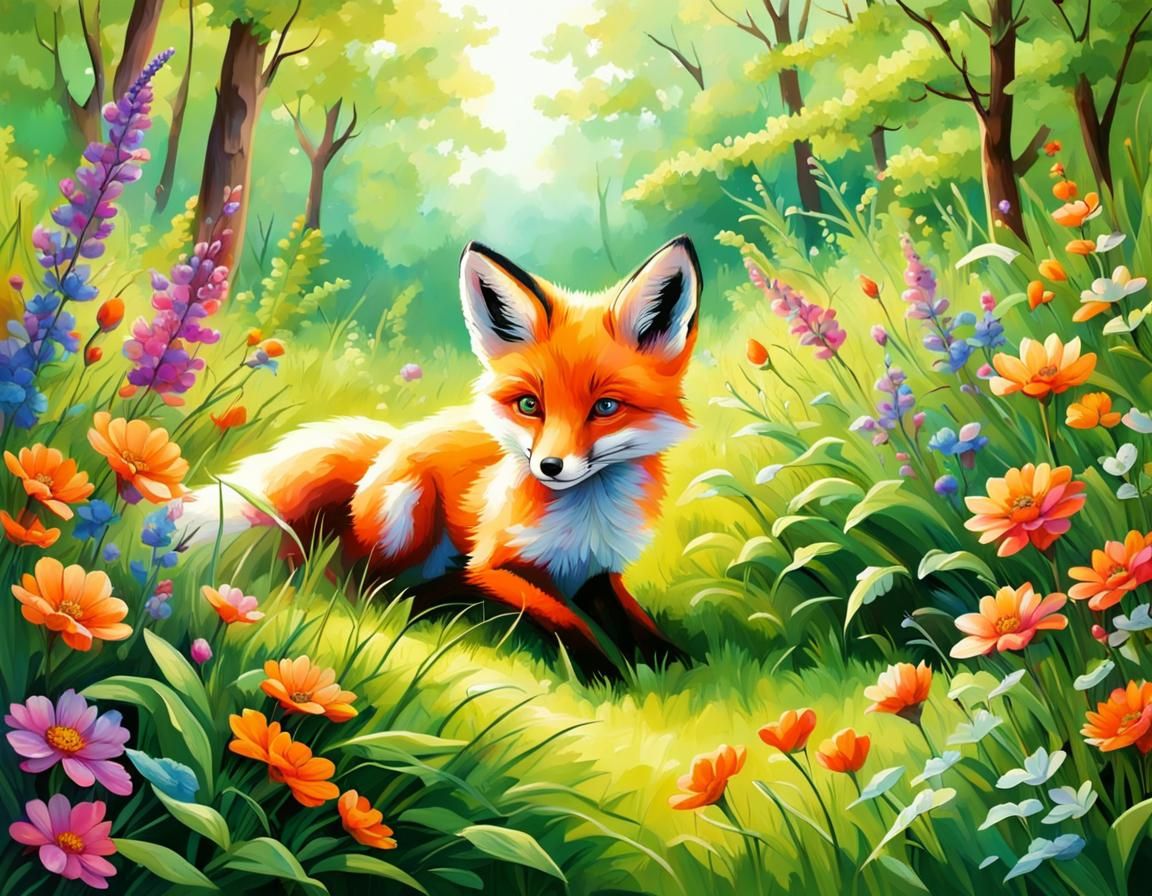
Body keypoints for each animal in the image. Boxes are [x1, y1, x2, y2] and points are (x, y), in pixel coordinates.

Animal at [185, 236, 702, 677]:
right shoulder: (494, 563)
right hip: (406, 510)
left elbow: (633, 619)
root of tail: (389, 445)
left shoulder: (599, 569)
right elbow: (560, 617)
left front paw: (674, 660)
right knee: (364, 585)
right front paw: (604, 670)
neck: (585, 520)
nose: (550, 467)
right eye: (529, 405)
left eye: (606, 408)